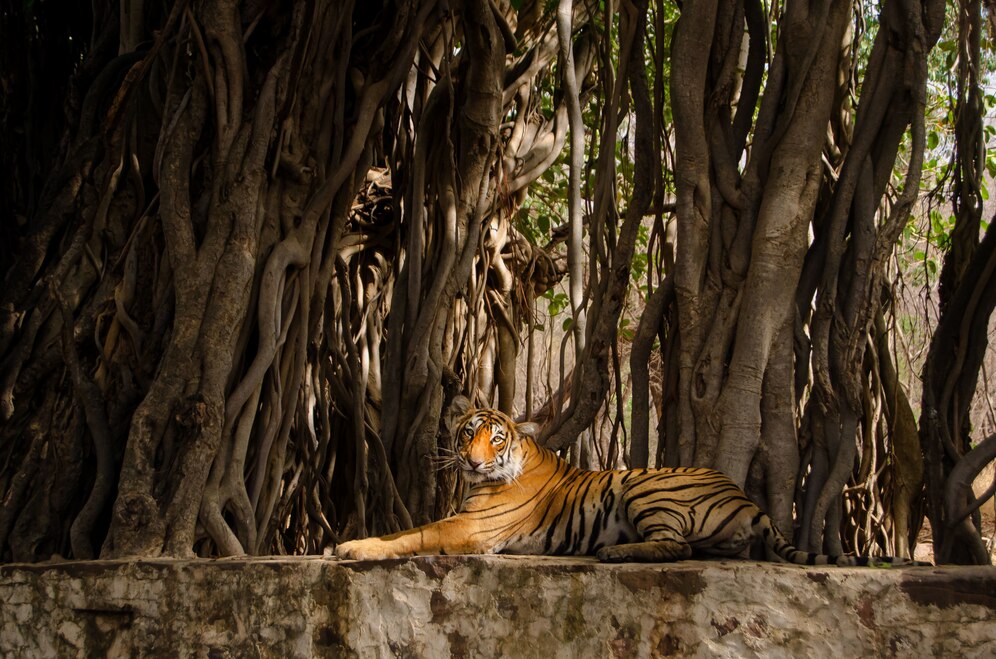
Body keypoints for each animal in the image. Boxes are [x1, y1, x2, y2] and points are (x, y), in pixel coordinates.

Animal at [336, 398, 924, 568]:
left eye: (495, 439)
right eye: (467, 433)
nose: (474, 463)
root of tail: (744, 495)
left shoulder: (470, 530)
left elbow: (414, 535)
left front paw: (353, 548)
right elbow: (404, 529)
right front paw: (349, 541)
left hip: (646, 487)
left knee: (676, 546)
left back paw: (615, 553)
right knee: (694, 546)